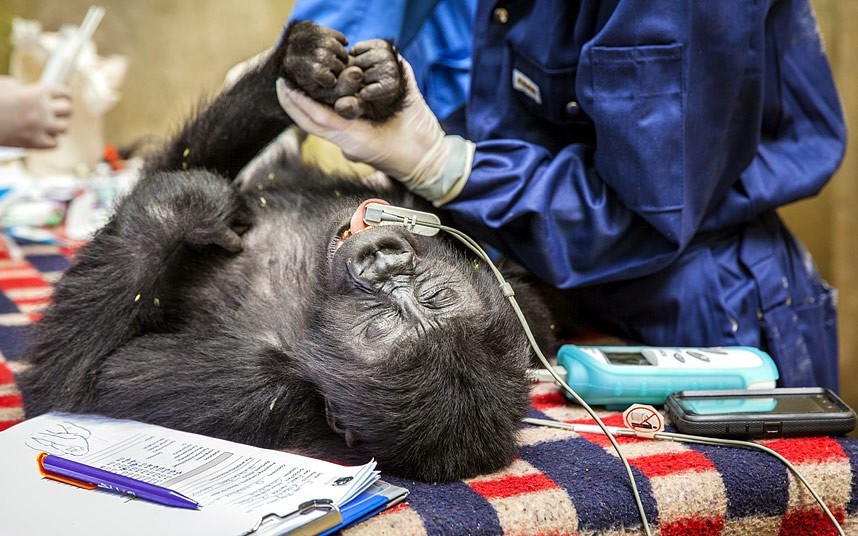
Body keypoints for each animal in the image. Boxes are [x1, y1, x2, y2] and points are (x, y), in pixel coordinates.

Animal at [20, 19, 560, 482]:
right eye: (436, 295)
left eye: (378, 326)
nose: (383, 262)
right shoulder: (509, 293)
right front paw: (318, 66)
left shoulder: (256, 387)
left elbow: (73, 380)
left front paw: (183, 206)